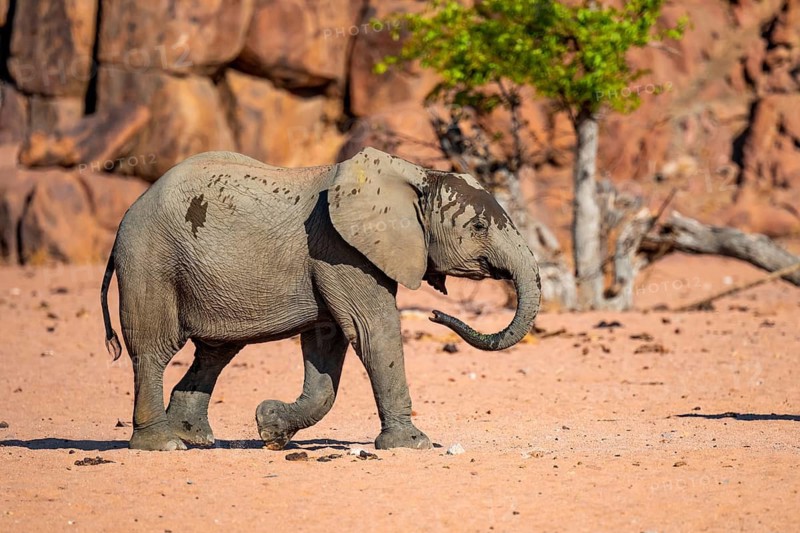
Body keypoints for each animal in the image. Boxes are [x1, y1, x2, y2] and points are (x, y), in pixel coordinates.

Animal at [100, 147, 541, 451]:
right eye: (479, 226)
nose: (435, 314)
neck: (414, 175)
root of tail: (128, 213)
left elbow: (328, 346)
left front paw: (270, 427)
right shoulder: (340, 248)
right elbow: (373, 332)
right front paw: (414, 445)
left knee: (214, 352)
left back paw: (195, 439)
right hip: (150, 260)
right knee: (152, 348)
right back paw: (163, 444)